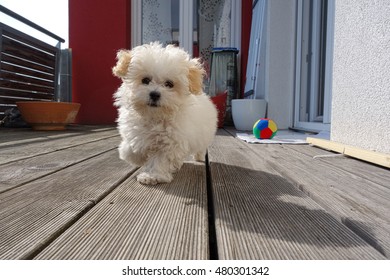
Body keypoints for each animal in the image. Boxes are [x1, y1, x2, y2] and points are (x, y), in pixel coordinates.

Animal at [112, 42, 218, 185]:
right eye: (145, 80)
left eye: (169, 84)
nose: (154, 94)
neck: (155, 116)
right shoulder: (135, 130)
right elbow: (131, 147)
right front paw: (134, 156)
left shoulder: (171, 142)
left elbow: (160, 160)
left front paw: (152, 176)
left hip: (203, 136)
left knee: (201, 148)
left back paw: (199, 157)